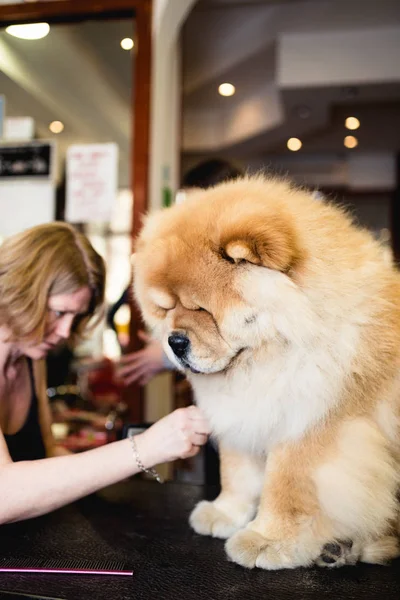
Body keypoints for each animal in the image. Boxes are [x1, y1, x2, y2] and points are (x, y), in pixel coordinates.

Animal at [134, 176, 400, 568]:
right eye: (165, 309)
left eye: (202, 309)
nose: (174, 341)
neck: (265, 360)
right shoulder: (244, 416)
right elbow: (237, 473)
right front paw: (225, 513)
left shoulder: (312, 423)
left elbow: (288, 487)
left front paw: (267, 541)